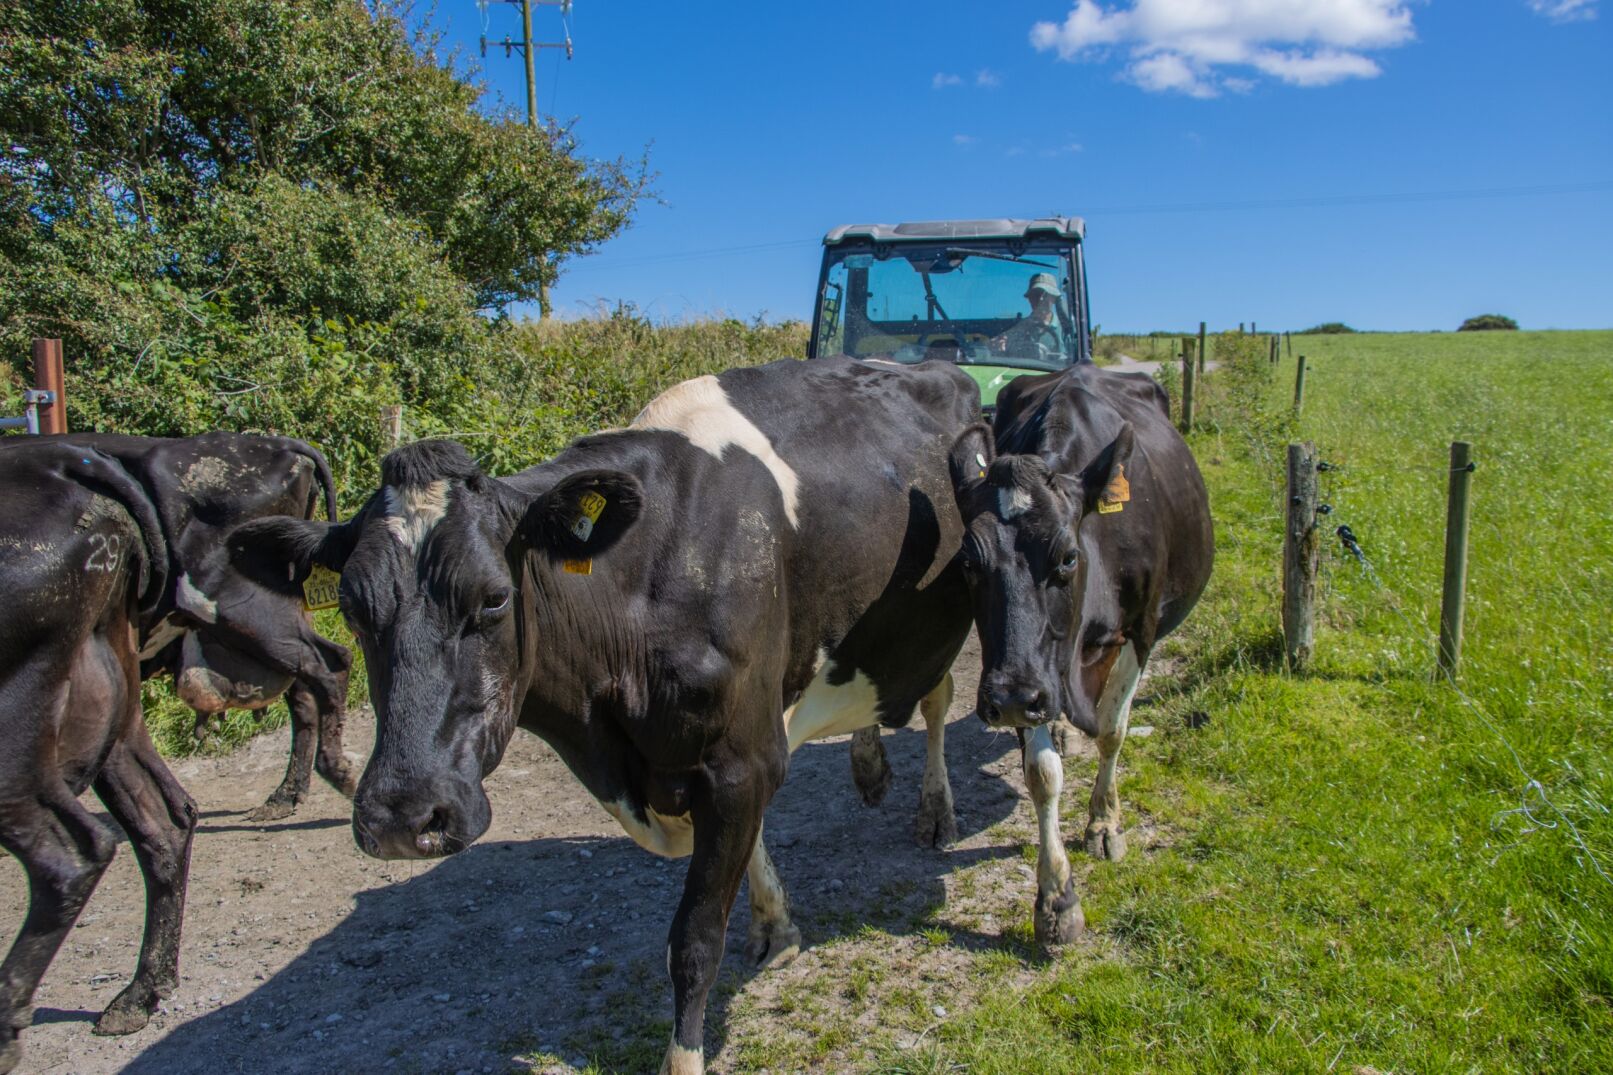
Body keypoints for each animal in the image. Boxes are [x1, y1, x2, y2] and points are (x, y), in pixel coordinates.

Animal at [0, 440, 190, 1074]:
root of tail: (65, 460)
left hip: (18, 731)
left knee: (73, 854)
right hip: (113, 708)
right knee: (164, 821)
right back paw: (140, 993)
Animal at [43, 432, 358, 820]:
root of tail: (280, 444)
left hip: (249, 615)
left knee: (330, 664)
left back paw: (338, 774)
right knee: (304, 690)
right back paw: (286, 796)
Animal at [229, 357, 979, 1075]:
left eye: (494, 597)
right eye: (353, 610)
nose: (402, 818)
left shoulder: (740, 759)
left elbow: (695, 941)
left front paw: (684, 1059)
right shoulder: (732, 751)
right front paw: (776, 927)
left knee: (938, 698)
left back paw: (936, 810)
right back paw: (869, 765)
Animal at [948, 364, 1213, 946]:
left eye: (1068, 557)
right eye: (968, 563)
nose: (1007, 701)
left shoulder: (1141, 629)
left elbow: (1114, 730)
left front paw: (1105, 823)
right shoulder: (1023, 677)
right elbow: (1041, 773)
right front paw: (1056, 900)